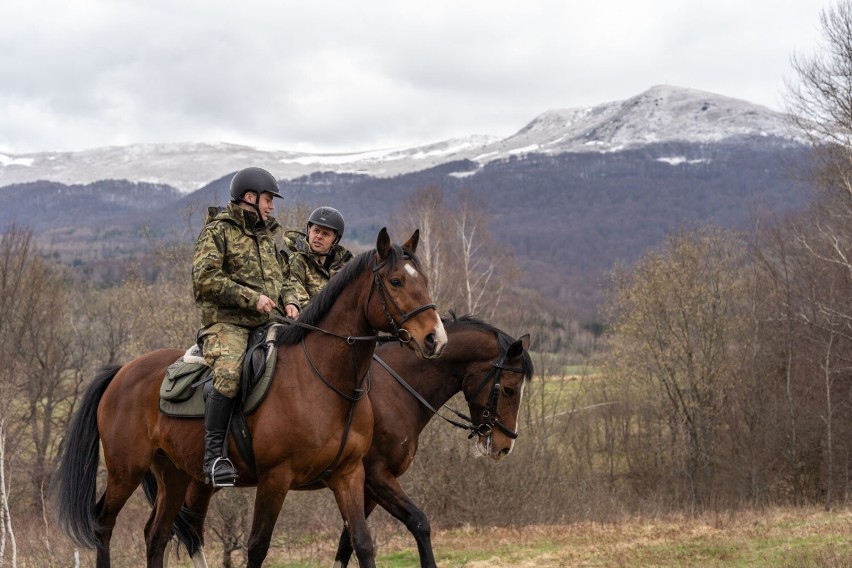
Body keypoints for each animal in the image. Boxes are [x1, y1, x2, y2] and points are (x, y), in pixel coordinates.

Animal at [54, 227, 450, 568]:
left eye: (425, 280)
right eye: (396, 281)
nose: (435, 339)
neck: (324, 380)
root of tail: (122, 371)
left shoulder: (349, 475)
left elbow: (362, 543)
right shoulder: (277, 479)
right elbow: (258, 546)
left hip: (174, 474)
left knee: (157, 534)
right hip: (127, 471)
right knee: (104, 527)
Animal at [147, 312, 532, 568]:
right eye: (509, 389)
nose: (503, 445)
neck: (393, 390)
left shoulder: (359, 482)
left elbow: (350, 541)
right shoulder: (375, 475)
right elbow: (418, 522)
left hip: (192, 479)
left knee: (177, 530)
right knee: (187, 531)